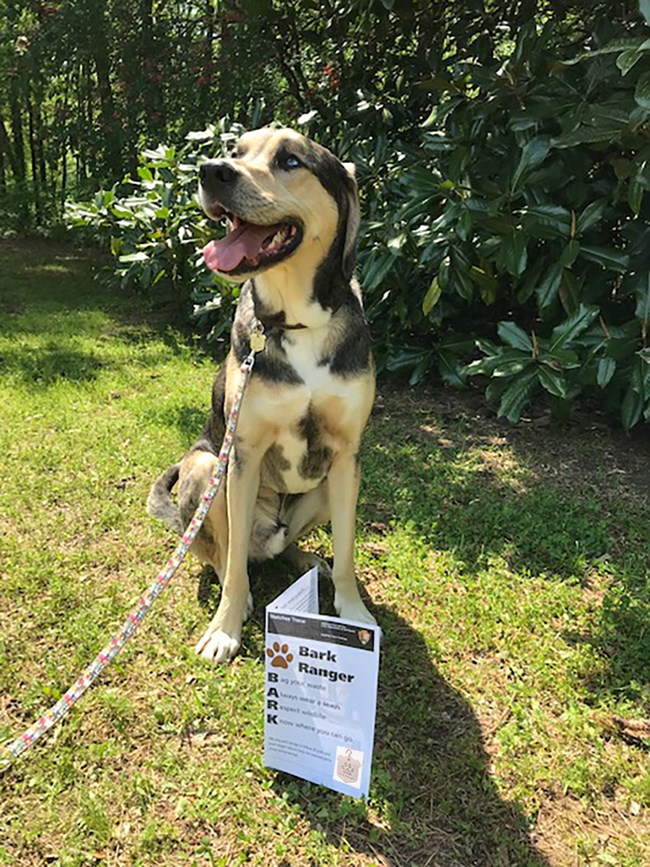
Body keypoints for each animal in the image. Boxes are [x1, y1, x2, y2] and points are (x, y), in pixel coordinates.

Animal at [144, 125, 372, 660]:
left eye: (290, 160)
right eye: (235, 151)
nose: (210, 171)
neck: (296, 321)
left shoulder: (348, 455)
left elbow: (348, 551)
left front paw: (352, 611)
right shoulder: (242, 453)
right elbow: (230, 569)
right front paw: (225, 628)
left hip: (326, 488)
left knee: (283, 545)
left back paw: (306, 560)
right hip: (208, 468)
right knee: (225, 554)